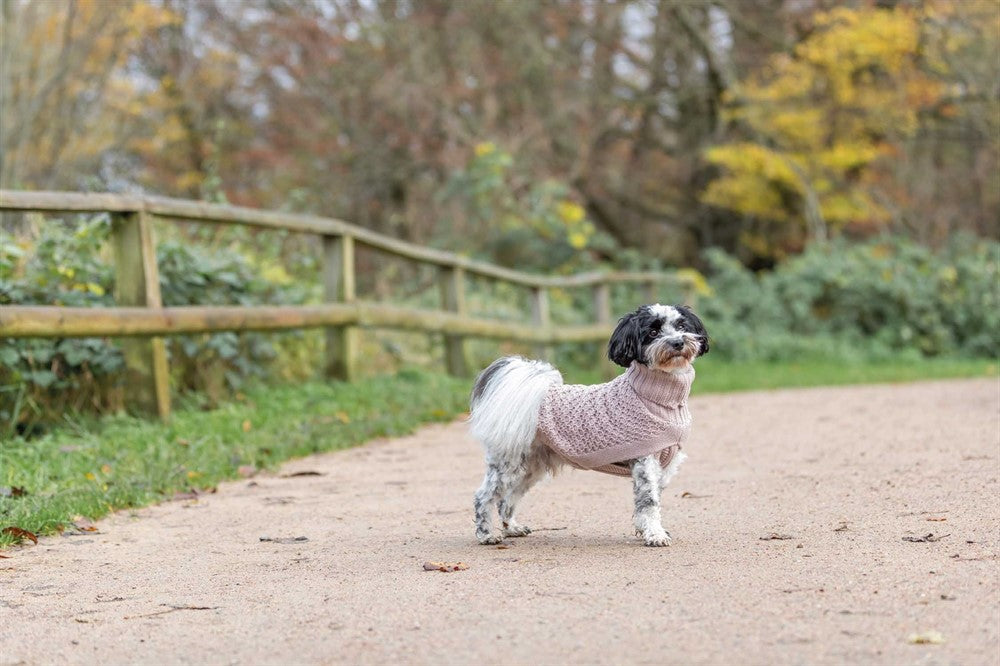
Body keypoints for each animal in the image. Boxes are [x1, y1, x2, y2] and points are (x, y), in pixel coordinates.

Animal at [470, 304, 712, 544]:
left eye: (681, 326)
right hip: (507, 464)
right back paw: (487, 534)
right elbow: (649, 502)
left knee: (507, 499)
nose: (678, 342)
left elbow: (650, 502)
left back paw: (512, 528)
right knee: (483, 497)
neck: (659, 398)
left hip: (530, 468)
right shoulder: (646, 462)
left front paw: (646, 529)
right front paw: (655, 534)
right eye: (653, 332)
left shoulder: (663, 466)